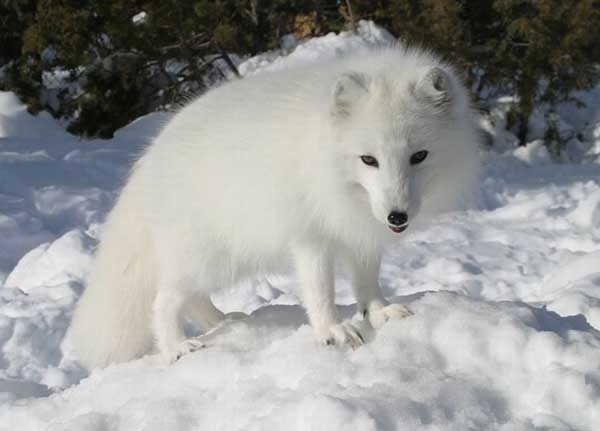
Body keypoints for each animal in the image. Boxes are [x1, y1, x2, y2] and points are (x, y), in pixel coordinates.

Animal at [70, 45, 480, 368]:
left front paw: (379, 312)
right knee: (164, 300)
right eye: (369, 159)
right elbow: (320, 291)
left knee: (192, 298)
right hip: (207, 255)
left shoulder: (359, 232)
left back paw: (223, 321)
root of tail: (149, 158)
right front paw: (332, 330)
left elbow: (367, 282)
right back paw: (176, 348)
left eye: (419, 156)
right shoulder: (311, 236)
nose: (397, 217)